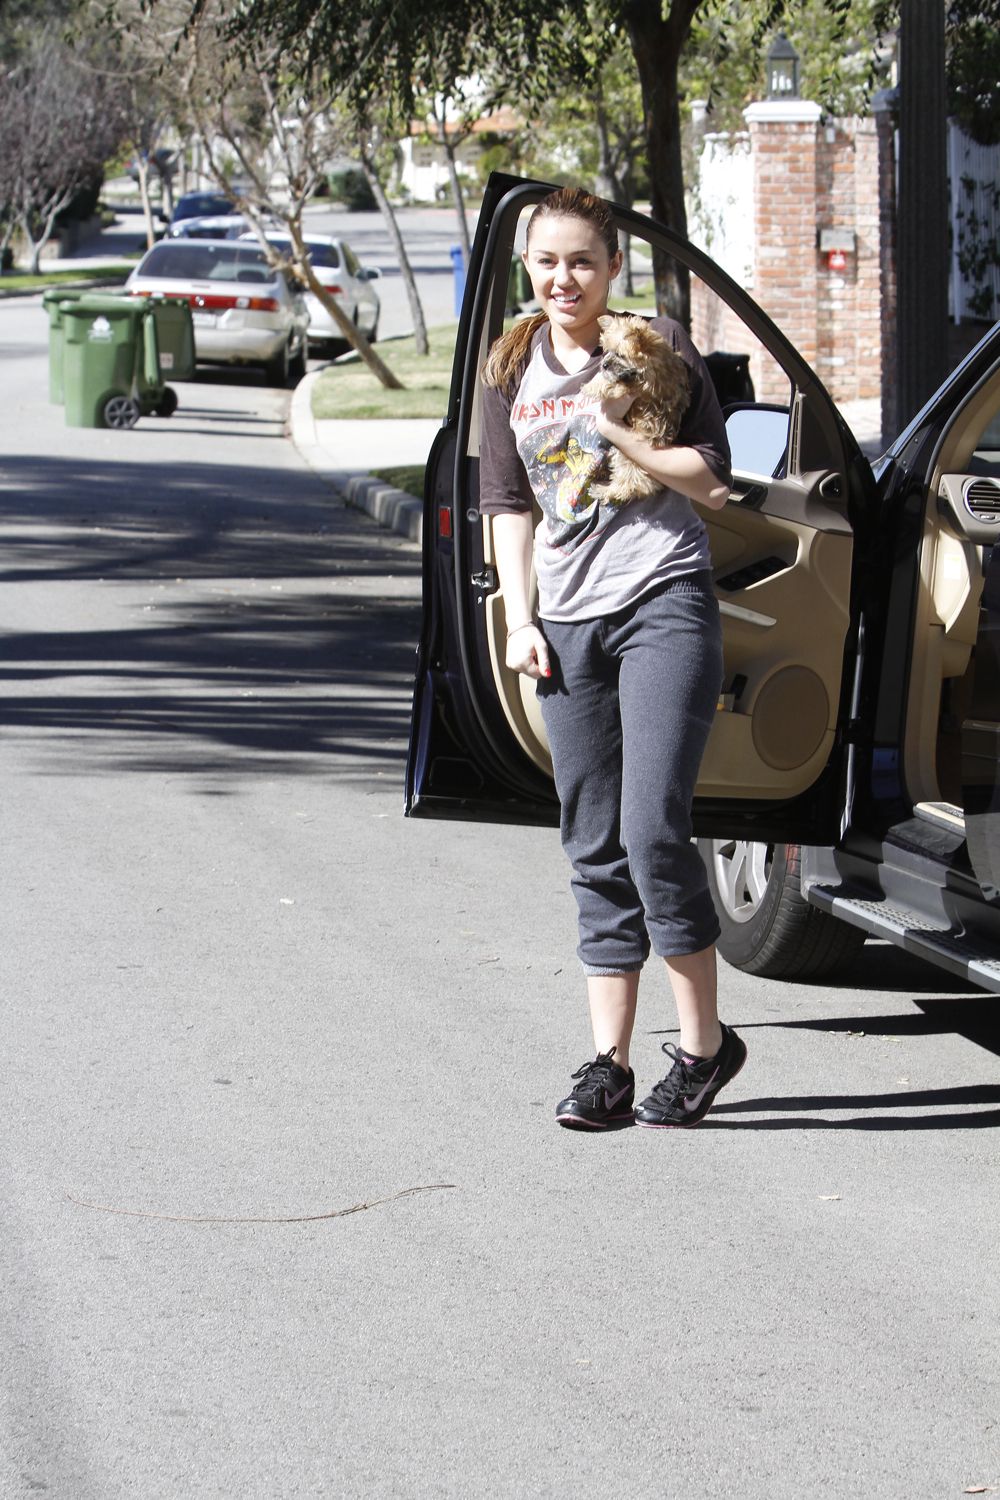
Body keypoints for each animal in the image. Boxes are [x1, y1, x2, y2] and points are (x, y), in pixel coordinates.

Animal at [582, 314, 690, 504]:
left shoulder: (638, 385)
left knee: (628, 485)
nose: (604, 365)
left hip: (628, 459)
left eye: (620, 355)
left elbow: (613, 382)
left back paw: (603, 490)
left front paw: (591, 385)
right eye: (607, 351)